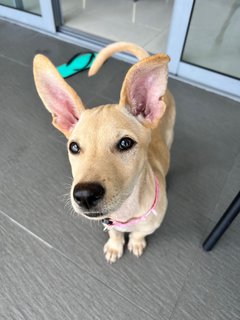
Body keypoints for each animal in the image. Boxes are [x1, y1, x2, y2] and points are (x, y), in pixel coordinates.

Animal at [33, 42, 175, 262]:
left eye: (125, 143)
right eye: (74, 147)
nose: (84, 195)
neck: (125, 212)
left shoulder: (151, 224)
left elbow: (139, 233)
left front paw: (136, 243)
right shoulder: (109, 222)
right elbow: (115, 233)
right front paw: (115, 246)